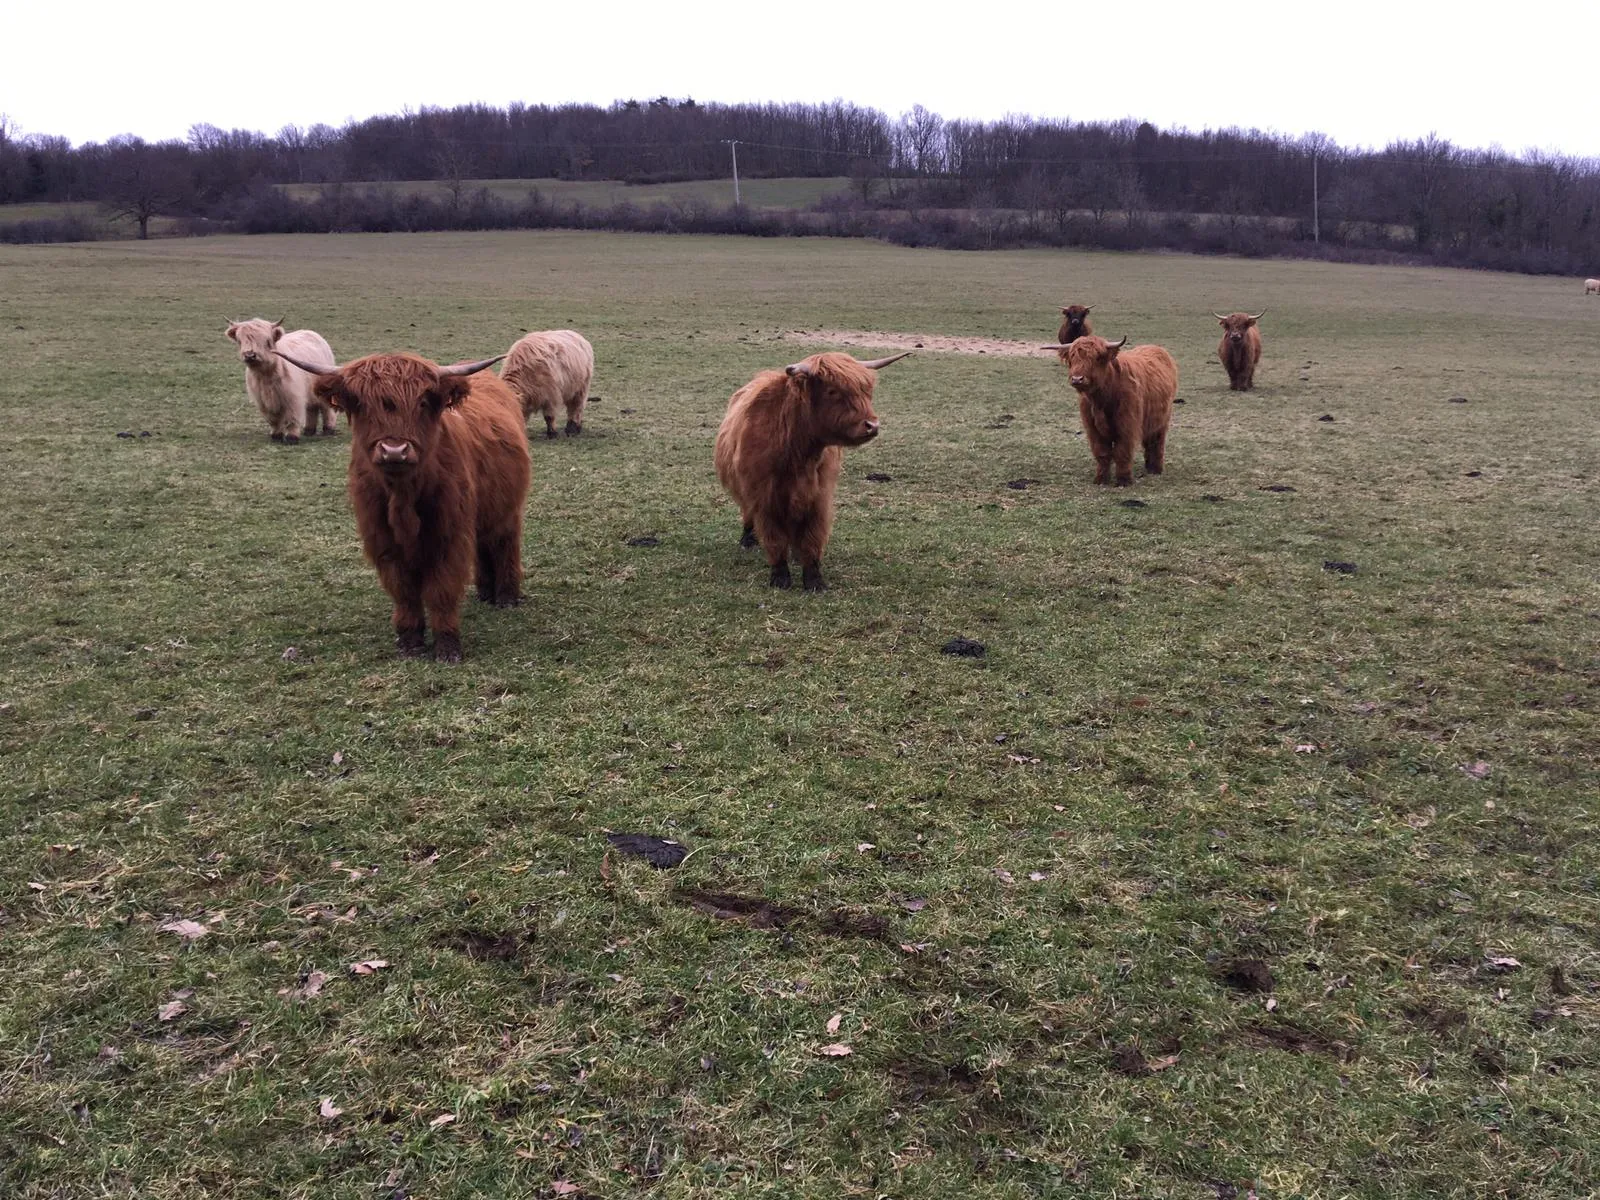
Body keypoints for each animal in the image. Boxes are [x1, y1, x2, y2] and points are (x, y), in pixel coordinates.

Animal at [273, 348, 531, 663]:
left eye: (422, 402)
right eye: (362, 404)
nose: (394, 450)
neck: (403, 498)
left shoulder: (449, 536)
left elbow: (441, 590)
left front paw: (447, 647)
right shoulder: (382, 538)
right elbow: (403, 590)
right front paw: (410, 641)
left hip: (508, 511)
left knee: (504, 544)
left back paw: (506, 597)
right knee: (483, 545)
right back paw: (484, 592)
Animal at [715, 350, 911, 592]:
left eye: (866, 391)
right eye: (832, 391)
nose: (872, 425)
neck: (797, 453)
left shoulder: (819, 497)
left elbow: (812, 538)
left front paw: (814, 580)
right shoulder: (764, 497)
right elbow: (774, 538)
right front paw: (780, 578)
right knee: (748, 514)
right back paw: (747, 540)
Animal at [1041, 335, 1177, 486]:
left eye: (1097, 357)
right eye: (1072, 357)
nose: (1077, 379)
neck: (1101, 400)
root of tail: (1157, 348)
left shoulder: (1127, 426)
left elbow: (1122, 452)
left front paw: (1124, 480)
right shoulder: (1093, 429)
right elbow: (1102, 453)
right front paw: (1101, 479)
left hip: (1162, 420)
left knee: (1157, 442)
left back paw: (1156, 469)